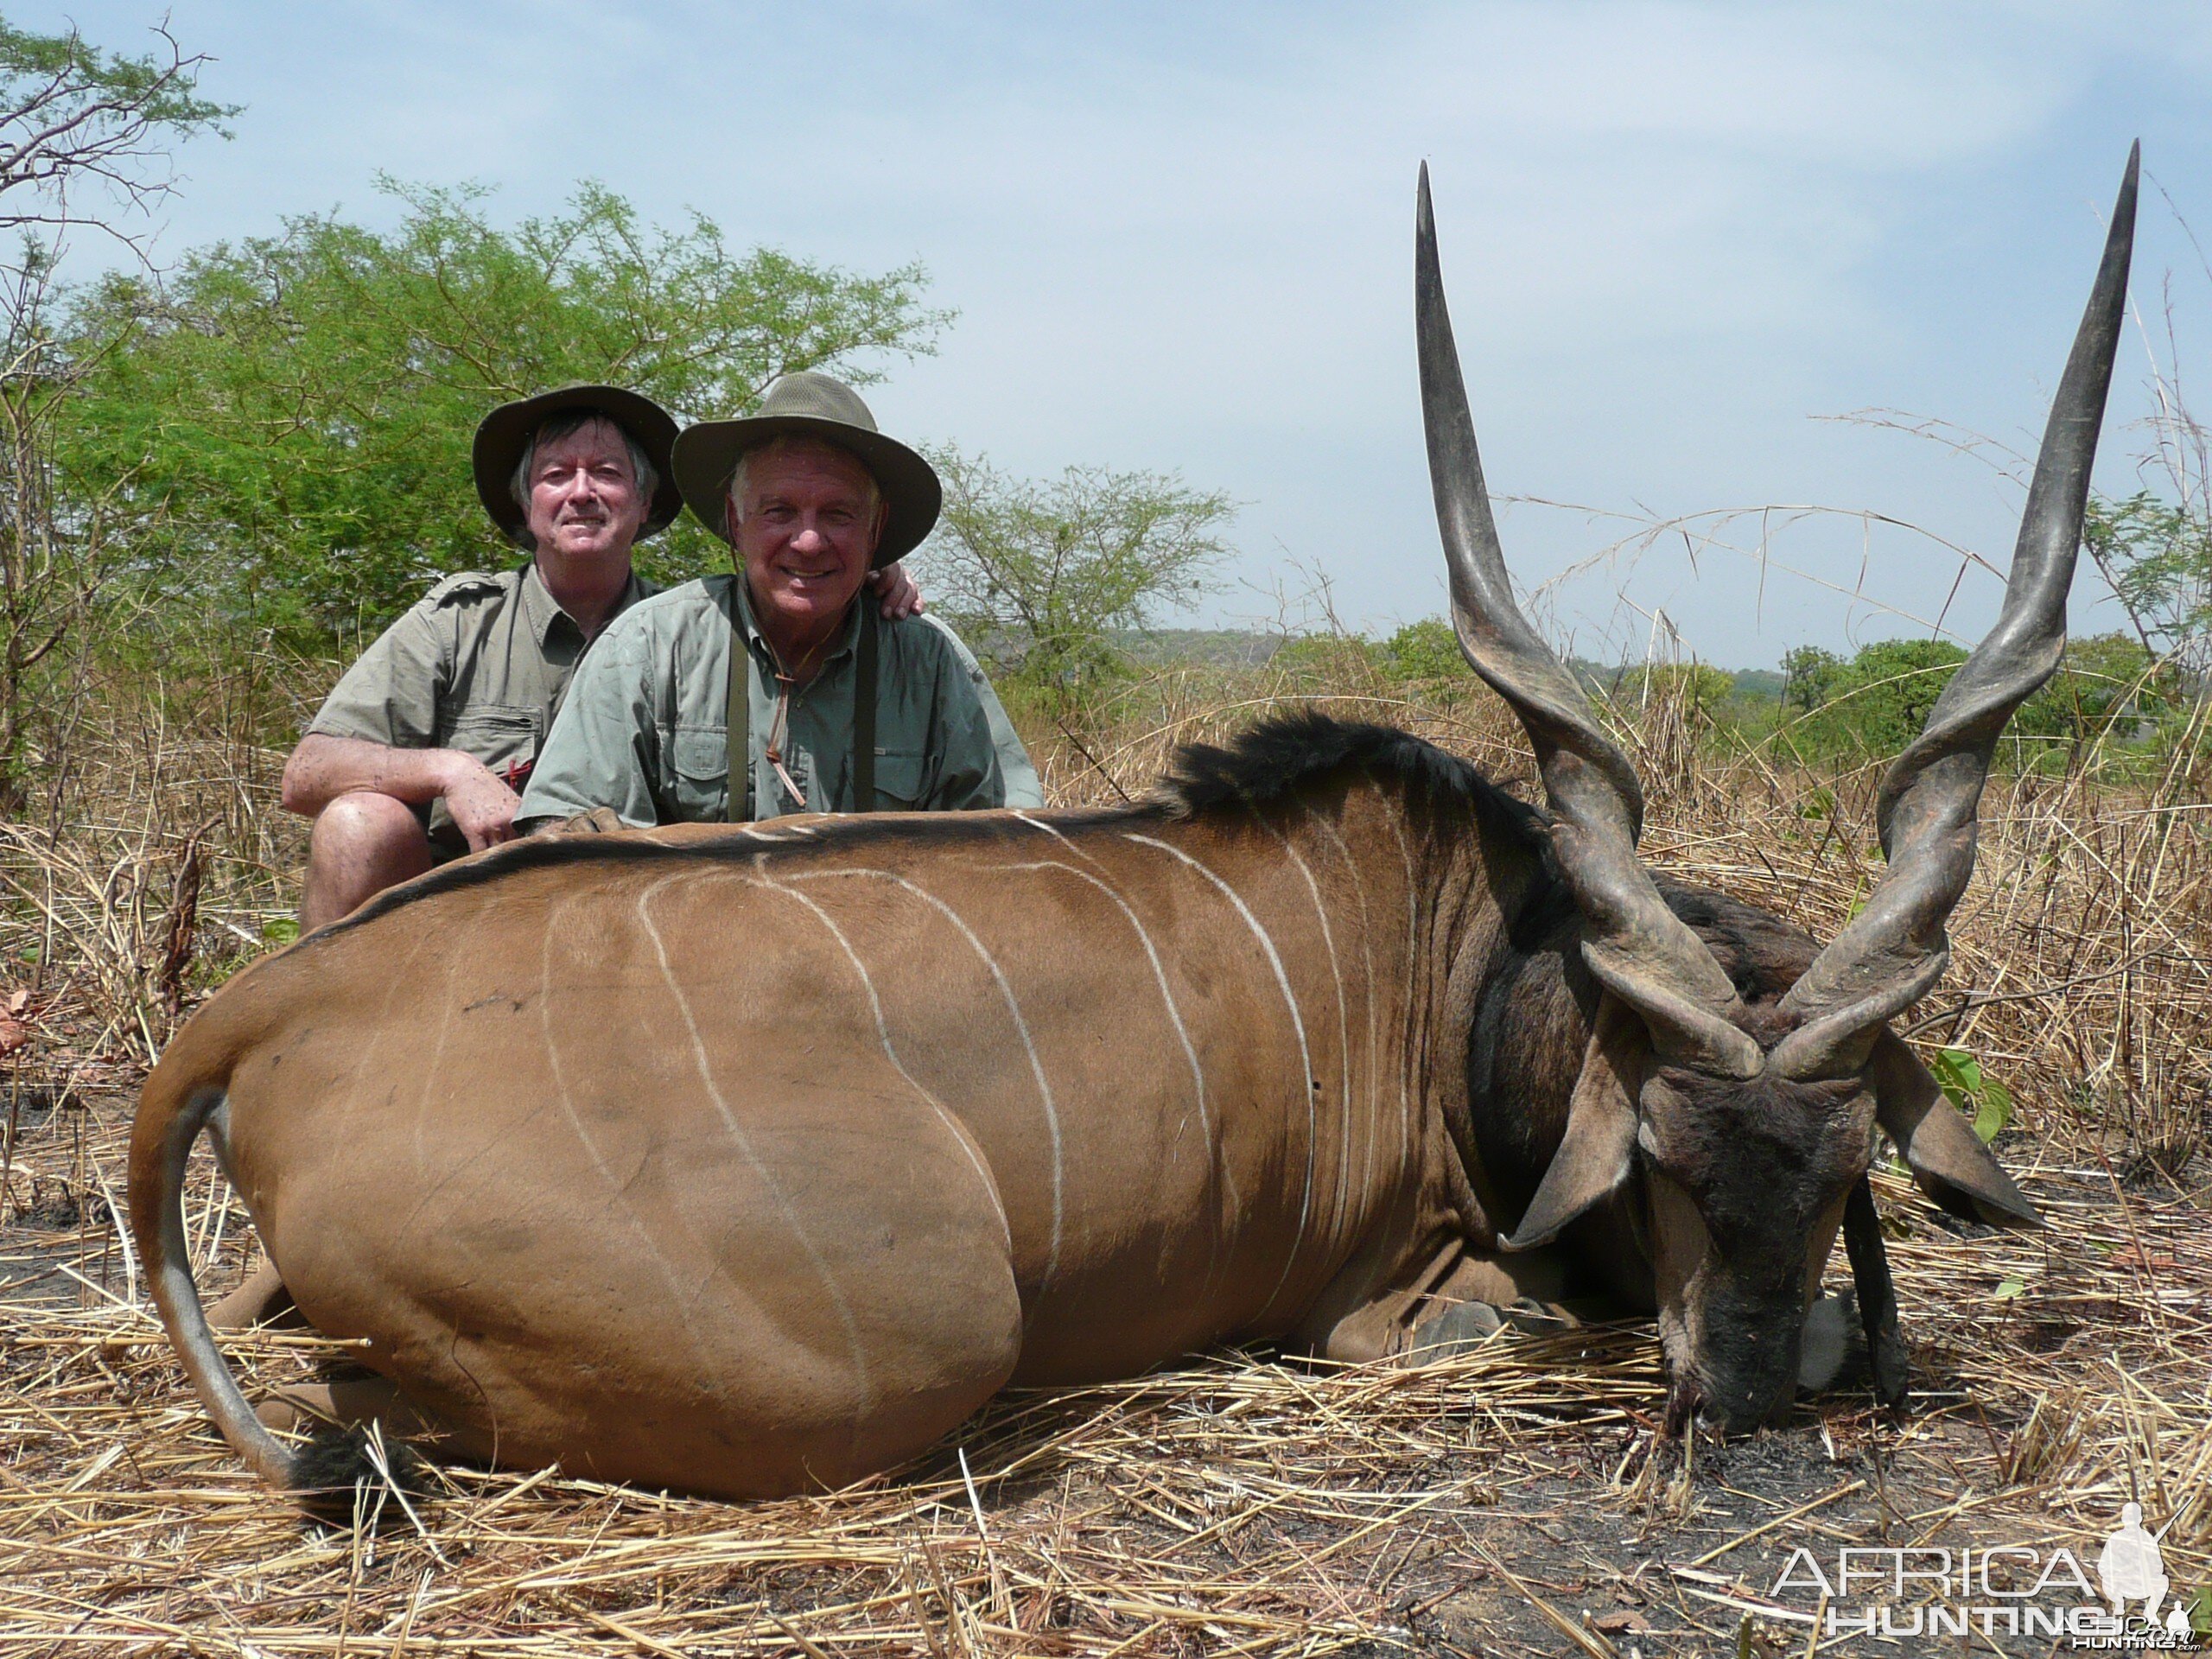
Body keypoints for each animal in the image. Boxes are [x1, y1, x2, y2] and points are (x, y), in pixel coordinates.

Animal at [125, 156, 2123, 1503]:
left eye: (1845, 1170)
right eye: (1655, 1154)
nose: (1751, 1388)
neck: (1464, 971)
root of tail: (263, 1009)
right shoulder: (1408, 1293)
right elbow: (1512, 1315)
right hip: (907, 1325)